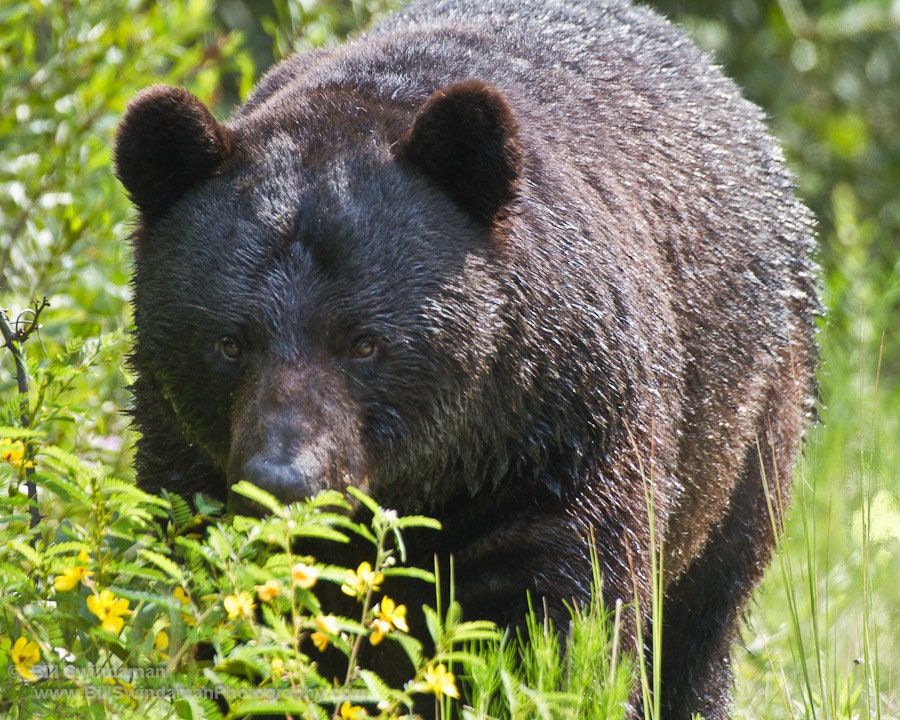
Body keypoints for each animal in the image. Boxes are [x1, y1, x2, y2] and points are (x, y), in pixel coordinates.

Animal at [114, 0, 818, 717]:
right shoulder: (186, 453)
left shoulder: (562, 440)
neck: (440, 471)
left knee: (705, 612)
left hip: (748, 419)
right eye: (230, 343)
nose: (283, 481)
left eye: (365, 343)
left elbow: (562, 617)